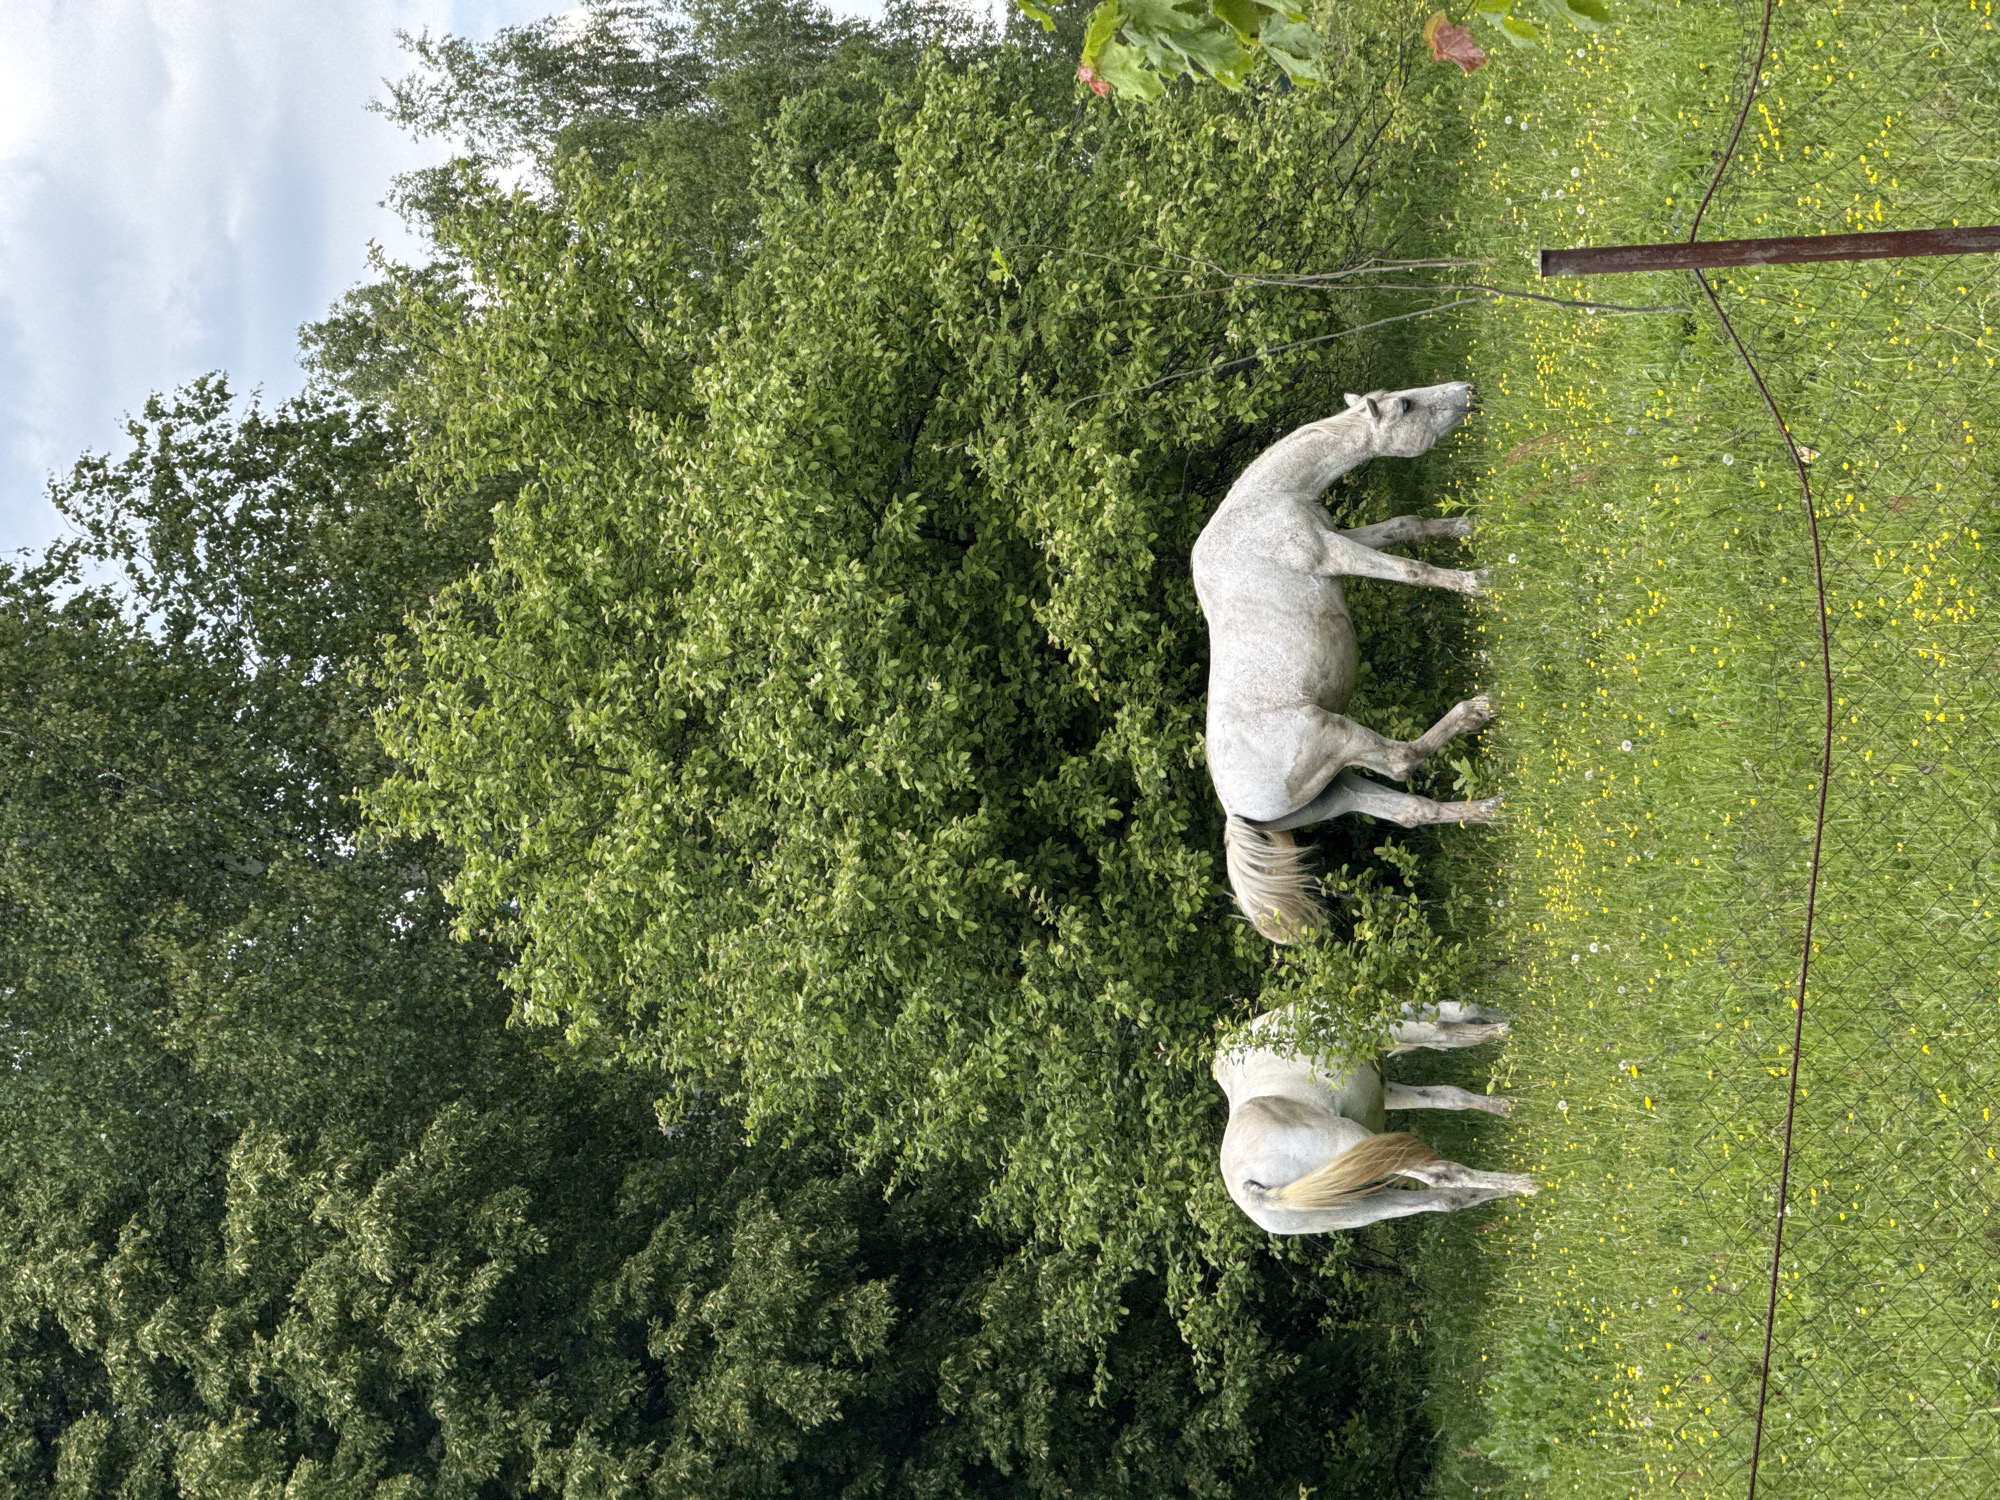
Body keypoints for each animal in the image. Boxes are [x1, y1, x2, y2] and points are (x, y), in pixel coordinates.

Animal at [1191, 383, 1502, 944]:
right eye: (1405, 405)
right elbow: (1413, 569)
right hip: (1336, 734)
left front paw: (1469, 524)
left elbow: (1405, 525)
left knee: (1411, 810)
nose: (1466, 391)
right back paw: (1476, 712)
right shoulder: (1335, 554)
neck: (1266, 504)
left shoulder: (1347, 538)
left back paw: (1496, 811)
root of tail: (1234, 810)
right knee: (1401, 760)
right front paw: (1480, 582)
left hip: (1337, 790)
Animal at [1212, 1004, 1534, 1234]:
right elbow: (1447, 1030)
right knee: (1444, 1175)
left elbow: (1446, 1095)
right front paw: (1507, 1030)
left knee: (1445, 1199)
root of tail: (1249, 1188)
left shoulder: (1384, 1089)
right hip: (1357, 1142)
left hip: (1363, 1204)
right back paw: (1525, 1184)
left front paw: (1506, 1106)